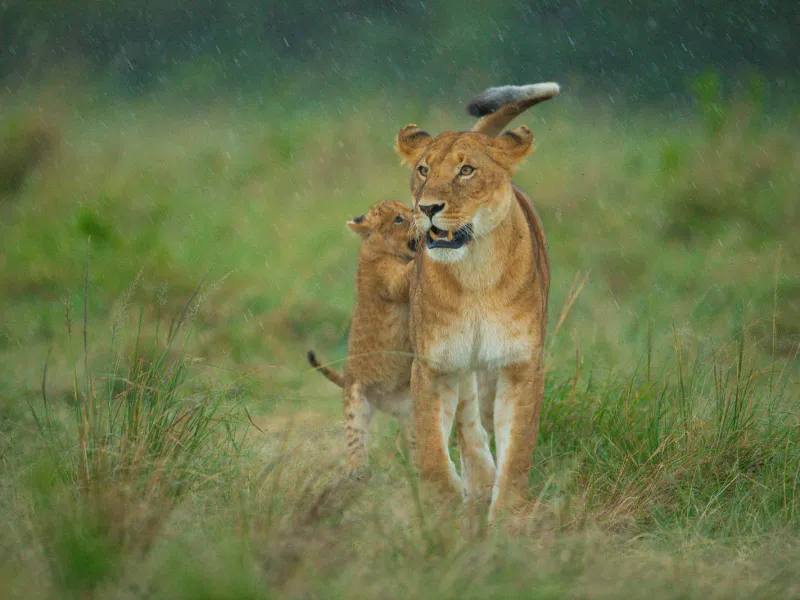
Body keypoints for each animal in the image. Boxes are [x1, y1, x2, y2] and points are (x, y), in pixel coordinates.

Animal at [394, 82, 558, 520]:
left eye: (466, 171)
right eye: (424, 170)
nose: (427, 208)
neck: (476, 274)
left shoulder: (521, 365)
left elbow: (518, 451)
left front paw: (508, 520)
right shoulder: (433, 364)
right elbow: (432, 448)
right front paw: (443, 510)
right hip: (463, 363)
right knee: (468, 422)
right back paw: (478, 479)